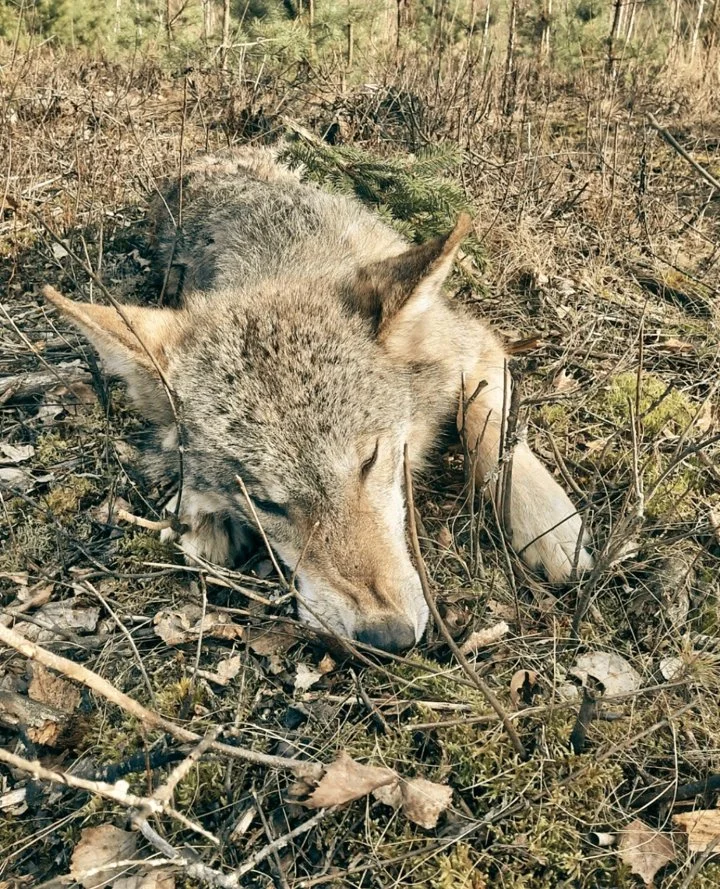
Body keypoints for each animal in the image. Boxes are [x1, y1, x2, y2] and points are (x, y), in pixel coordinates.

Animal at [45, 146, 592, 653]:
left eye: (370, 461)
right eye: (266, 504)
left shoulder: (476, 348)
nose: (387, 637)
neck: (285, 264)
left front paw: (554, 531)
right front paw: (201, 512)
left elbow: (493, 432)